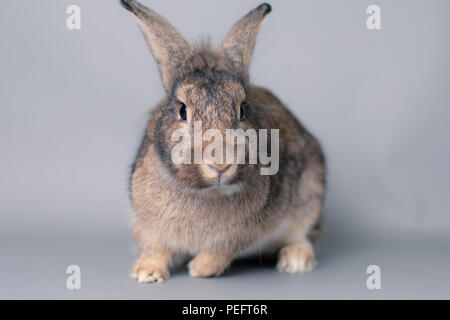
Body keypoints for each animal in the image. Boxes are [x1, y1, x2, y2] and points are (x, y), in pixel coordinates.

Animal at [121, 0, 326, 282]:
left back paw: (295, 262)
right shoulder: (147, 227)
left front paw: (197, 270)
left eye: (242, 109)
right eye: (182, 110)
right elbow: (154, 247)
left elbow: (219, 252)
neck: (207, 192)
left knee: (301, 237)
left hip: (310, 195)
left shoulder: (241, 234)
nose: (220, 164)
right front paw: (146, 274)